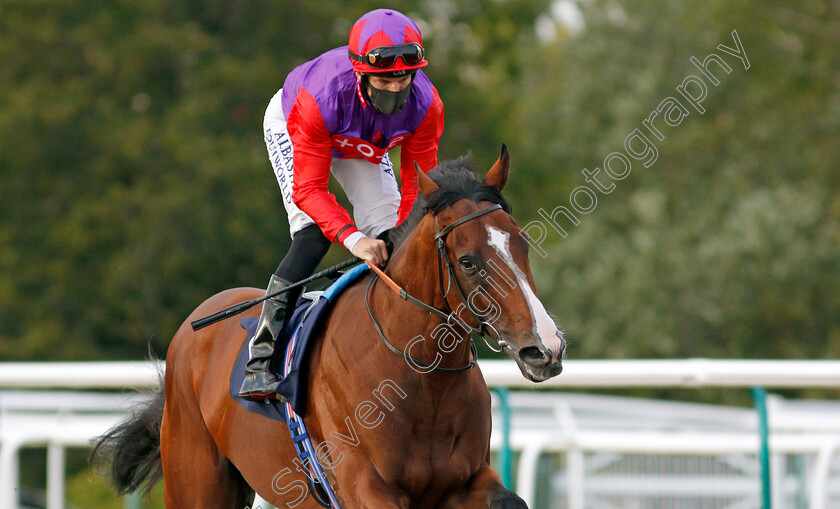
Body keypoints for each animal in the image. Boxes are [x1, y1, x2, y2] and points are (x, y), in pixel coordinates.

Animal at [95, 145, 568, 506]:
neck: (420, 379)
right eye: (468, 261)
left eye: (523, 243)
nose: (544, 348)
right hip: (197, 481)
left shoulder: (467, 480)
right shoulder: (366, 487)